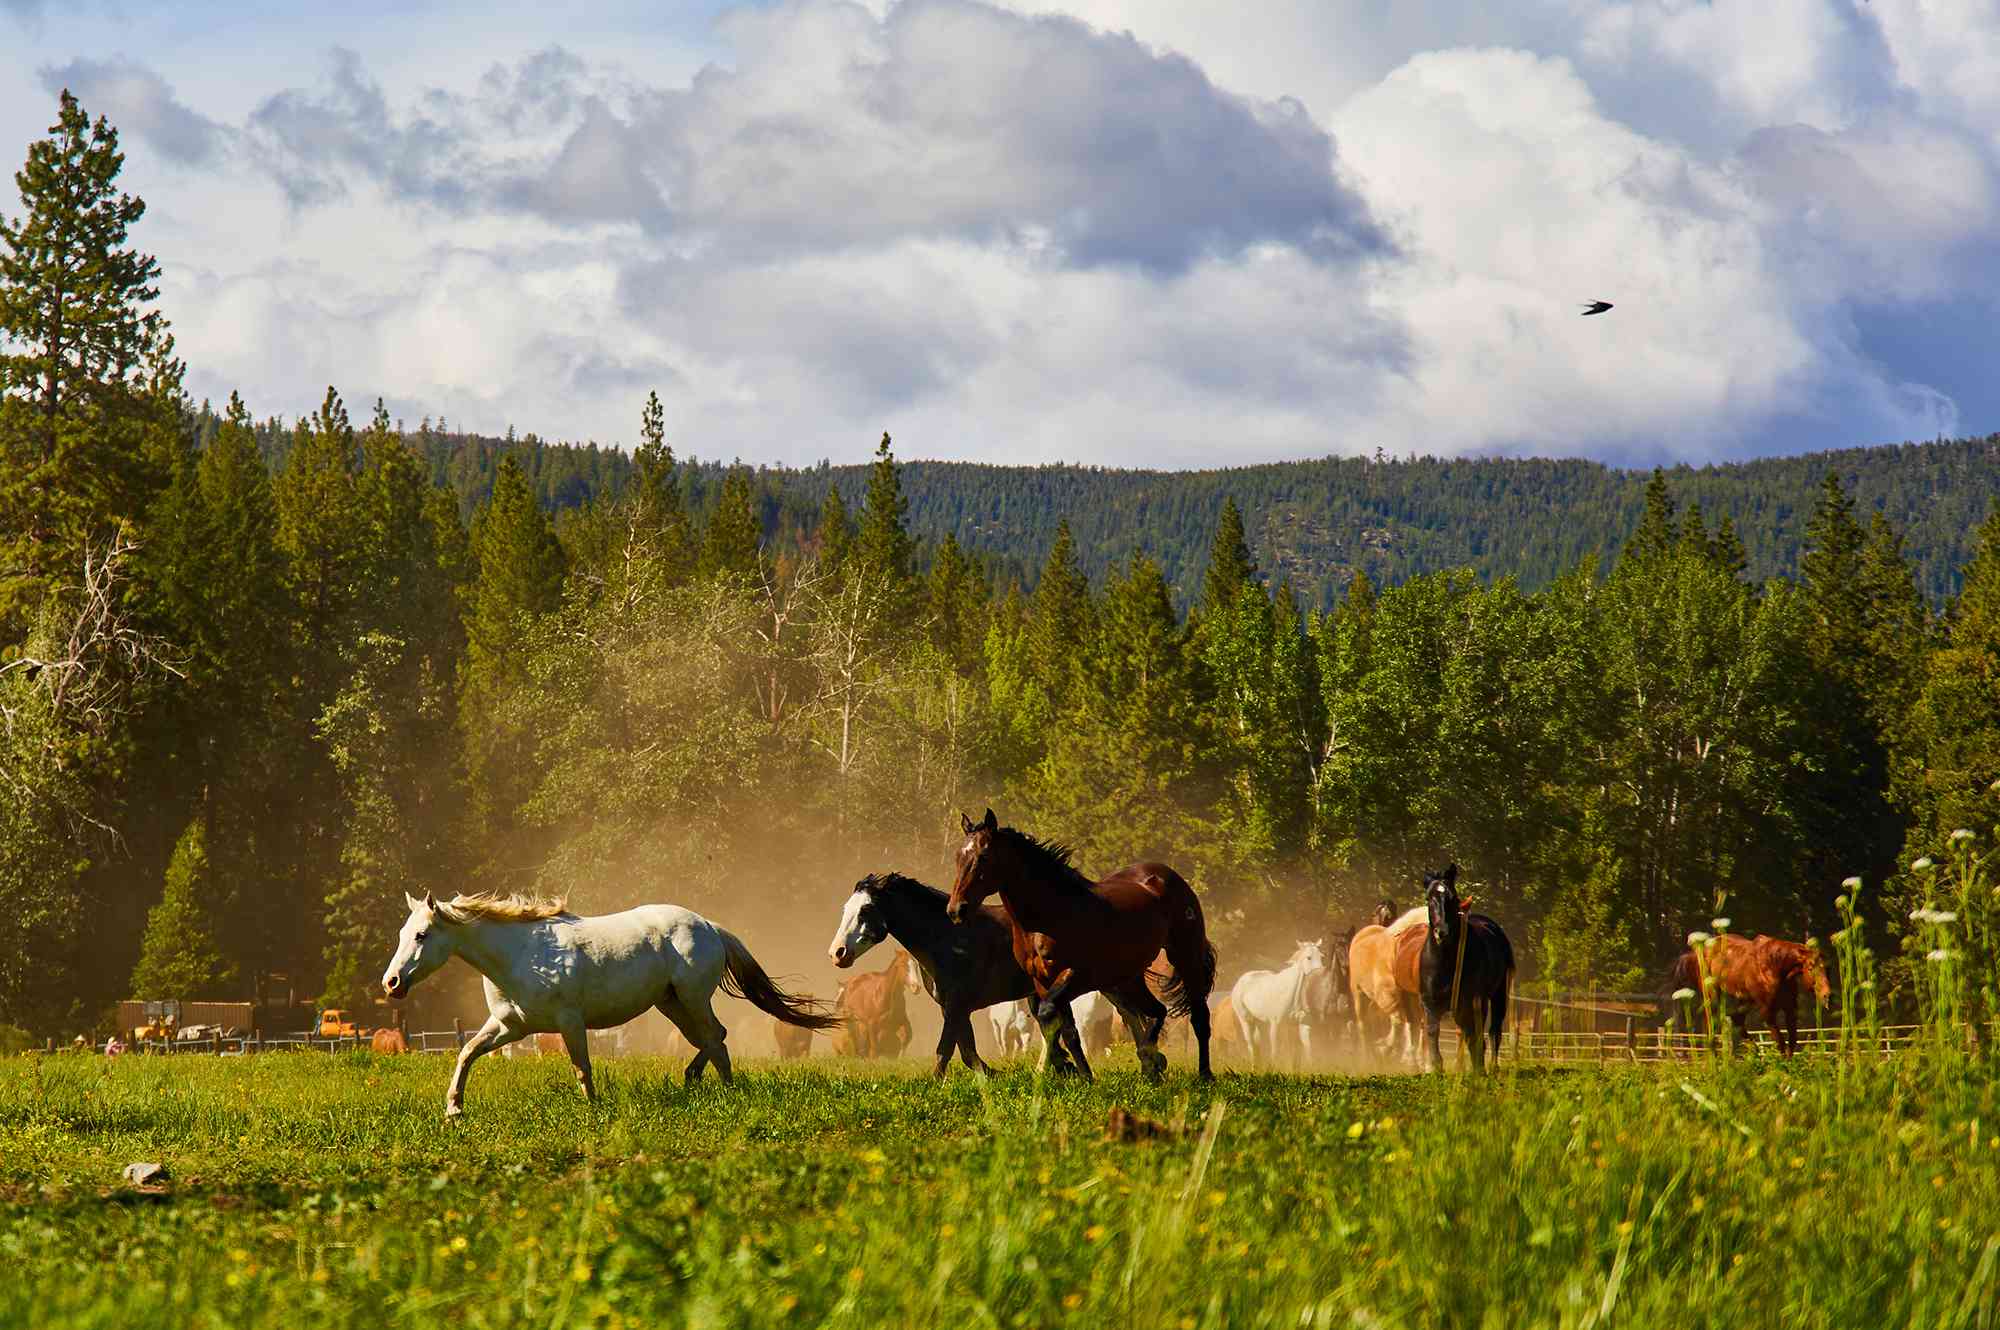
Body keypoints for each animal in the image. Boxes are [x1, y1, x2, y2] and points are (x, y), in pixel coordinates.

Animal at [380, 891, 837, 1118]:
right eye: (403, 932)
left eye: (421, 935)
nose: (392, 982)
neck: (520, 953)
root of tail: (708, 926)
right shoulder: (511, 1027)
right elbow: (467, 1053)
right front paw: (454, 1108)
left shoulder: (569, 1021)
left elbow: (582, 1066)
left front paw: (593, 1109)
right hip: (671, 1004)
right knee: (713, 1039)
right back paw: (700, 1082)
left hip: (692, 998)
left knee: (714, 1037)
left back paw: (719, 1088)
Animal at [946, 808, 1217, 1081]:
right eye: (958, 856)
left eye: (983, 857)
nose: (956, 910)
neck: (1049, 915)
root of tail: (1168, 876)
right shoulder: (1042, 981)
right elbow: (1066, 1031)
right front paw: (1084, 1076)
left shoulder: (1074, 976)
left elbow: (1049, 1017)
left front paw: (1065, 1067)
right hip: (1128, 976)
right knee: (1156, 1011)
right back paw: (1151, 1062)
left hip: (1185, 956)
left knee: (1198, 1018)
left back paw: (1202, 1073)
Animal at [1348, 907, 1428, 1063]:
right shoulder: (1387, 996)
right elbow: (1399, 1022)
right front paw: (1385, 1049)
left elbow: (1414, 1024)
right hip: (1359, 994)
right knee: (1363, 1024)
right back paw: (1367, 1054)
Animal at [1415, 865, 1513, 1074]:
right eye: (1429, 898)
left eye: (1452, 897)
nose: (1442, 932)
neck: (1445, 963)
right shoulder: (1430, 1003)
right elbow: (1432, 1031)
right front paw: (1436, 1068)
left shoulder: (1474, 1001)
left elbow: (1476, 1035)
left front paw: (1479, 1070)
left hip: (1498, 995)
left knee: (1494, 1030)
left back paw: (1492, 1066)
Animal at [1668, 933, 1830, 1056]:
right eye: (1810, 967)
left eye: (1826, 967)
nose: (1826, 995)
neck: (1775, 966)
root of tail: (1694, 954)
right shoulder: (1767, 1012)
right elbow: (1781, 1042)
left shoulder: (1790, 1009)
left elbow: (1791, 1041)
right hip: (1713, 996)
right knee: (1710, 1024)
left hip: (1744, 1001)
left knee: (1737, 1022)